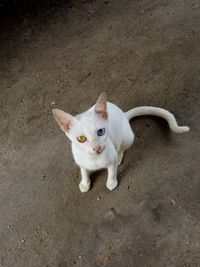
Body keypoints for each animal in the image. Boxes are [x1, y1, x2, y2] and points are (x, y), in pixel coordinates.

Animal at [52, 93, 190, 194]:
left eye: (101, 131)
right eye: (81, 138)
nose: (96, 147)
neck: (94, 159)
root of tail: (123, 114)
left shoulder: (110, 159)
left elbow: (112, 172)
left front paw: (111, 182)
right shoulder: (80, 161)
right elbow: (84, 171)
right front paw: (85, 183)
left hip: (127, 138)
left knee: (122, 149)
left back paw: (119, 158)